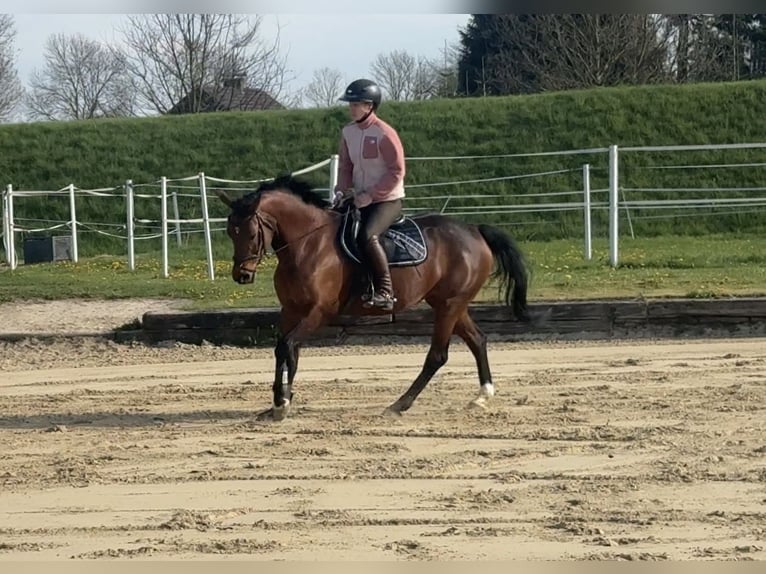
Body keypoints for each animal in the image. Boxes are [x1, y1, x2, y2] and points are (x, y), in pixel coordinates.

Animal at [216, 175, 537, 421]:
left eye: (251, 233)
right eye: (230, 231)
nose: (241, 275)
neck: (307, 243)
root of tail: (474, 230)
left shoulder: (319, 311)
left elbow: (287, 346)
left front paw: (282, 402)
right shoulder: (291, 310)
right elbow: (286, 351)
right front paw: (279, 401)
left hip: (450, 304)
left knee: (437, 355)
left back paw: (399, 404)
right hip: (449, 303)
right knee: (477, 340)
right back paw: (482, 396)